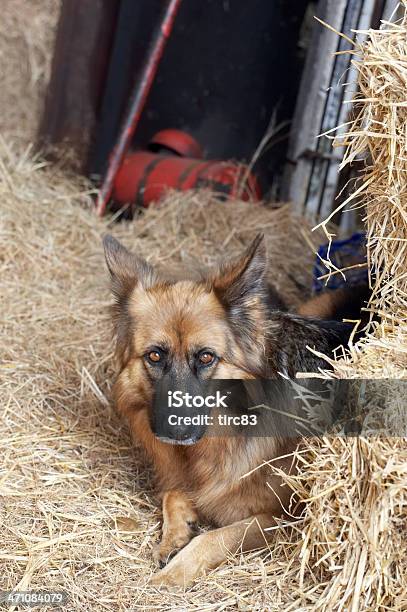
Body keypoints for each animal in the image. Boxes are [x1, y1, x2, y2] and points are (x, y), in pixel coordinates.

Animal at [103, 234, 356, 588]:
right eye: (154, 356)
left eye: (206, 357)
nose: (175, 431)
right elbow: (172, 495)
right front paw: (174, 537)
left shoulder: (284, 519)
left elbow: (213, 537)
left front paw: (173, 573)